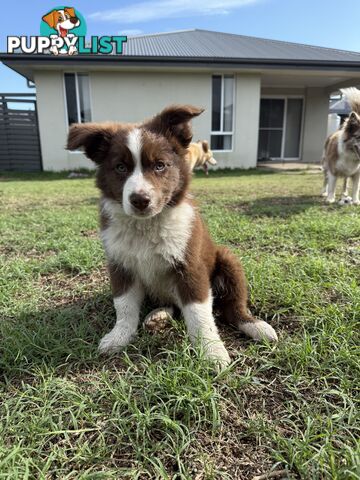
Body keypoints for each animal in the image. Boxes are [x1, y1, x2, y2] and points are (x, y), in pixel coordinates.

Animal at [66, 106, 278, 368]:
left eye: (160, 166)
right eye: (120, 168)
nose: (140, 200)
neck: (146, 226)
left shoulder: (190, 266)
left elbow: (198, 313)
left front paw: (212, 351)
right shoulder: (120, 265)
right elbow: (124, 306)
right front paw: (119, 336)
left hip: (228, 261)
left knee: (233, 307)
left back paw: (256, 326)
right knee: (171, 304)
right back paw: (159, 315)